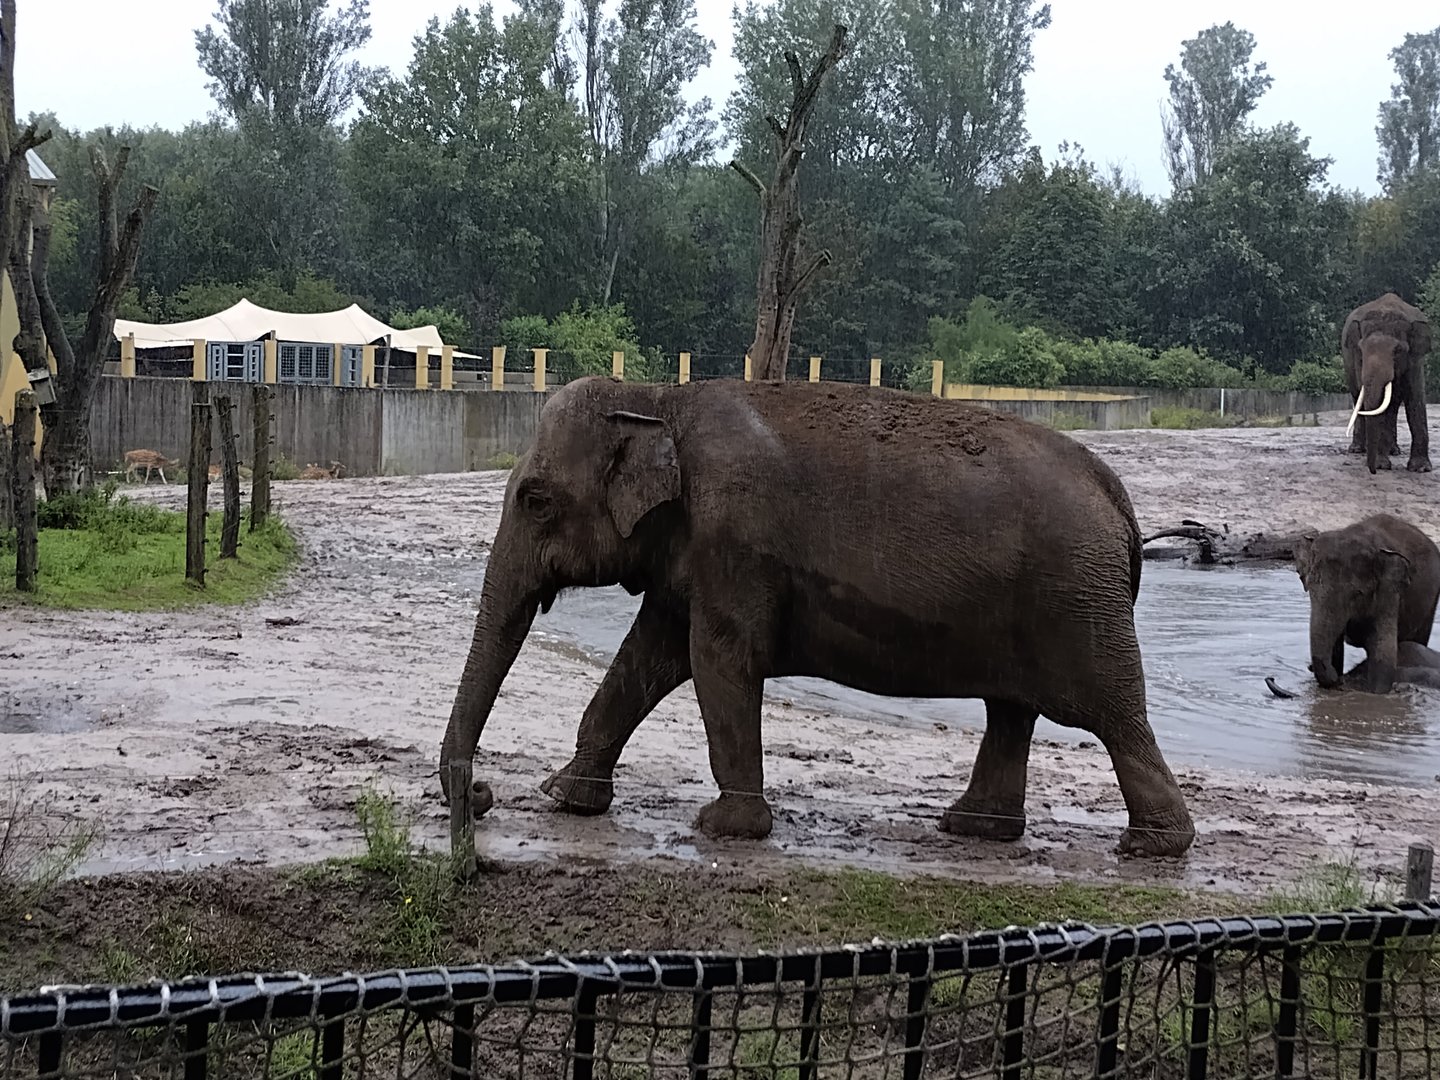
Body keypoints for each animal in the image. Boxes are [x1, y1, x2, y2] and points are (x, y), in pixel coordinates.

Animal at [437, 376, 1197, 858]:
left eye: (534, 499)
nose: (483, 795)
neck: (660, 401)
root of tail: (1119, 497)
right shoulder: (692, 552)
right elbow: (649, 657)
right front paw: (568, 796)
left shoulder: (735, 540)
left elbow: (718, 659)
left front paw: (725, 826)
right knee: (1011, 709)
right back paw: (972, 830)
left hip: (1075, 601)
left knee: (1113, 714)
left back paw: (1151, 846)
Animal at [1341, 292, 1433, 474]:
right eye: (1361, 350)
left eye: (1397, 351)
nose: (1372, 471)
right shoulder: (1356, 358)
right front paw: (1381, 465)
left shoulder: (1415, 358)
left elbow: (1416, 397)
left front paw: (1420, 469)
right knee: (1357, 397)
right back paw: (1357, 449)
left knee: (1394, 404)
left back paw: (1393, 450)